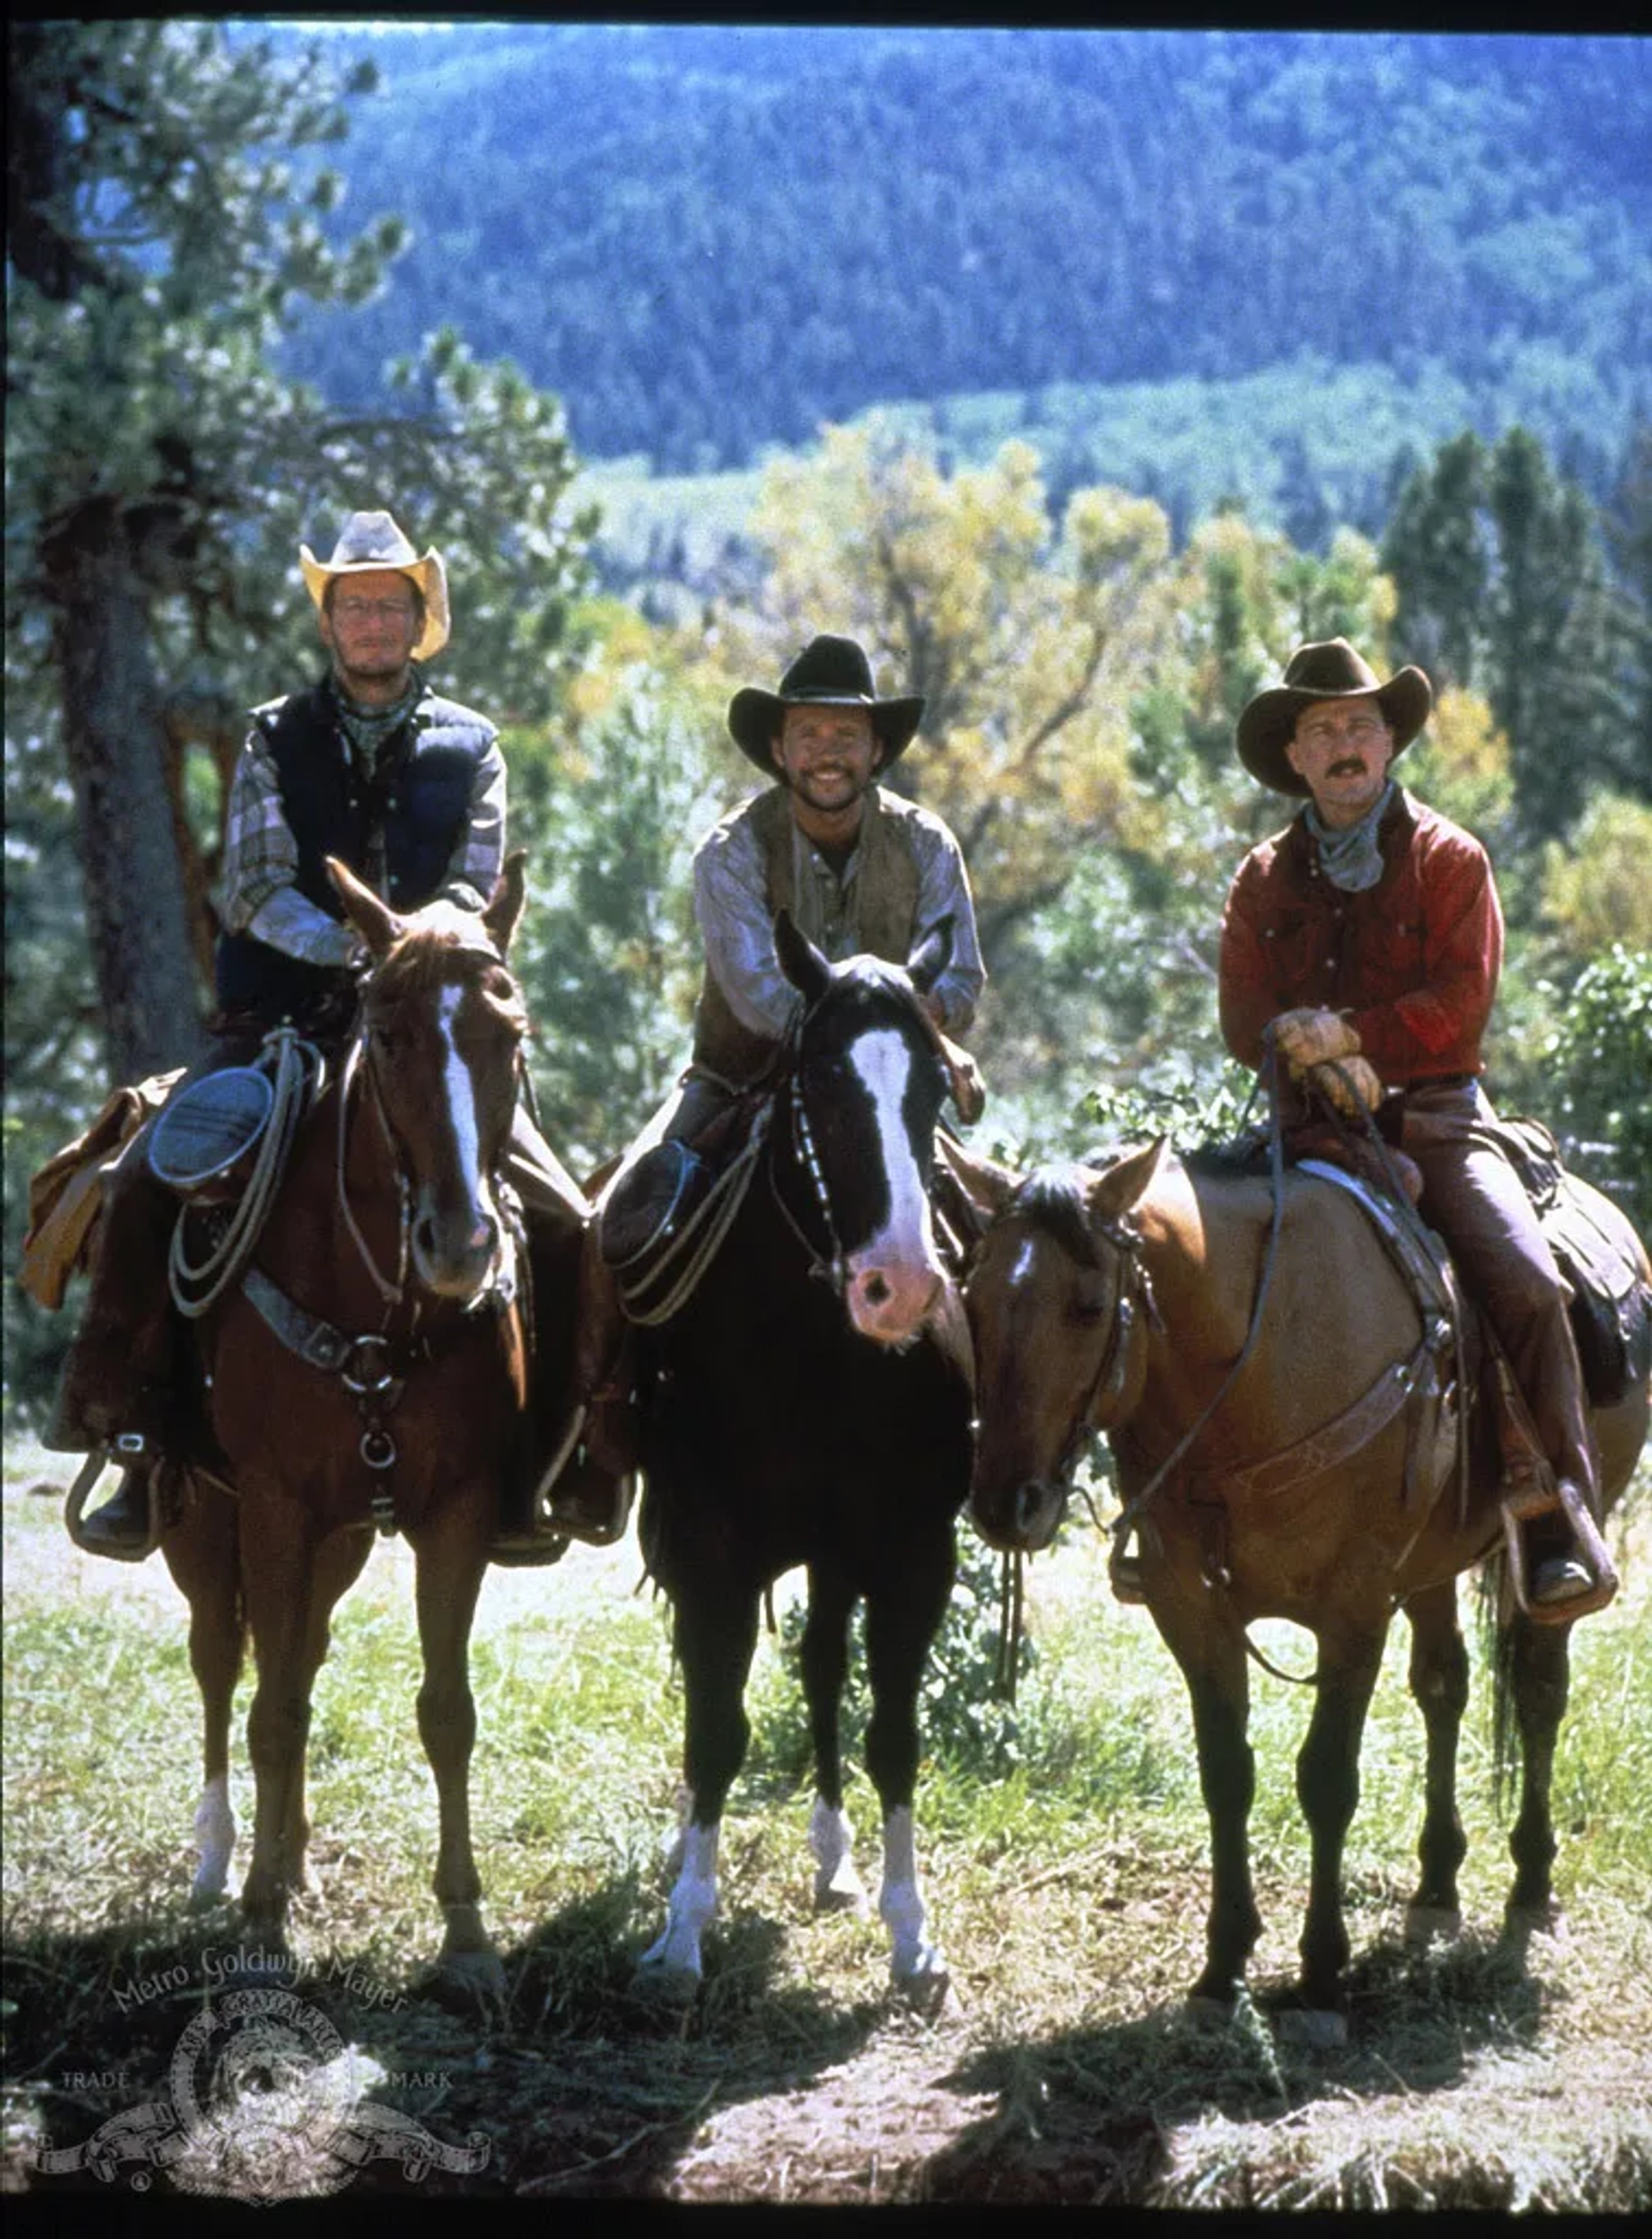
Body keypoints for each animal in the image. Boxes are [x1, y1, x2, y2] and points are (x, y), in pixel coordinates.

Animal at [151, 854, 530, 1996]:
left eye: (511, 1034)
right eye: (391, 1033)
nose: (460, 1243)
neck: (379, 1313)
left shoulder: (454, 1509)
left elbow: (444, 1711)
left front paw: (466, 1934)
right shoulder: (274, 1502)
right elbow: (270, 1712)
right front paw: (263, 1925)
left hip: (343, 1539)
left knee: (302, 1655)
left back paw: (294, 1859)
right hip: (206, 1522)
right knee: (225, 1663)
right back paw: (224, 1863)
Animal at [622, 917, 971, 2006]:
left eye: (935, 1084)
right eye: (819, 1078)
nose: (898, 1286)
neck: (815, 1351)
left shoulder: (912, 1554)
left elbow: (893, 1735)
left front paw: (913, 1934)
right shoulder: (710, 1555)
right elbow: (716, 1728)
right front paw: (681, 1932)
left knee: (821, 1668)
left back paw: (834, 1857)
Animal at [958, 1146, 1638, 2042]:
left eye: (1090, 1305)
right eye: (973, 1299)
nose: (1008, 1506)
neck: (1259, 1362)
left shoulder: (1353, 1612)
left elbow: (1326, 1781)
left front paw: (1319, 1979)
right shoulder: (1192, 1611)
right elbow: (1226, 1774)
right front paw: (1221, 1971)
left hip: (1554, 1543)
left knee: (1537, 1690)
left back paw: (1531, 1886)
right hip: (1429, 1567)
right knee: (1444, 1688)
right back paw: (1436, 1887)